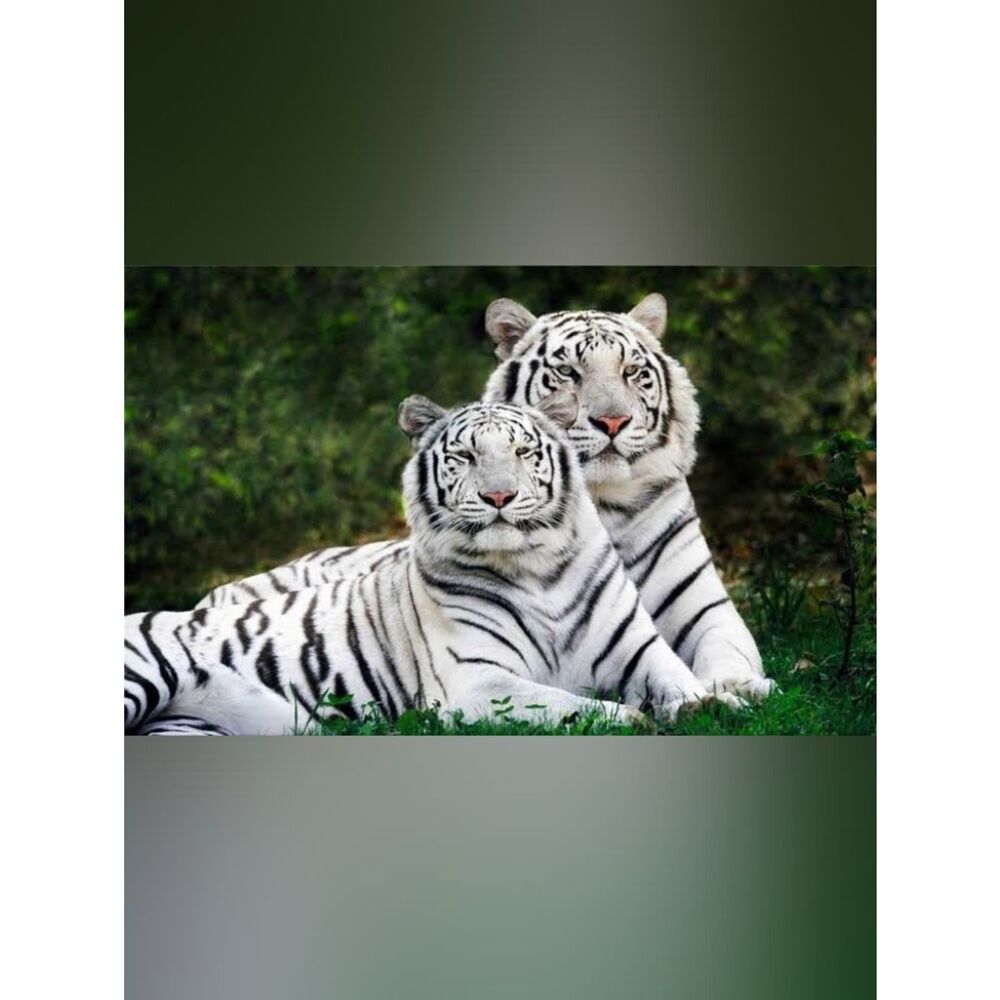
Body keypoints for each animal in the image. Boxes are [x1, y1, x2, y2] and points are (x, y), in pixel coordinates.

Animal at [126, 397, 729, 735]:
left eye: (524, 452)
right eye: (465, 456)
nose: (499, 497)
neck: (538, 570)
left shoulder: (639, 649)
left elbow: (679, 678)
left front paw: (711, 704)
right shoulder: (475, 681)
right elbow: (563, 702)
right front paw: (630, 718)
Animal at [199, 295, 774, 702]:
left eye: (632, 372)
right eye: (568, 372)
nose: (612, 421)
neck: (602, 504)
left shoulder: (706, 609)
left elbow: (728, 650)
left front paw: (741, 687)